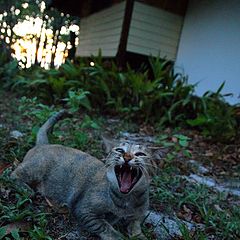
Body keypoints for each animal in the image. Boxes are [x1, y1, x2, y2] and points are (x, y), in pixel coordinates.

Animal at [11, 110, 152, 240]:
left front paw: (140, 236)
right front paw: (118, 236)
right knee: (12, 174)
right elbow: (104, 226)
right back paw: (26, 189)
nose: (127, 157)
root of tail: (45, 144)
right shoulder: (84, 211)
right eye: (119, 150)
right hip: (35, 169)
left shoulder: (138, 216)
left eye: (140, 154)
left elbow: (135, 226)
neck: (128, 199)